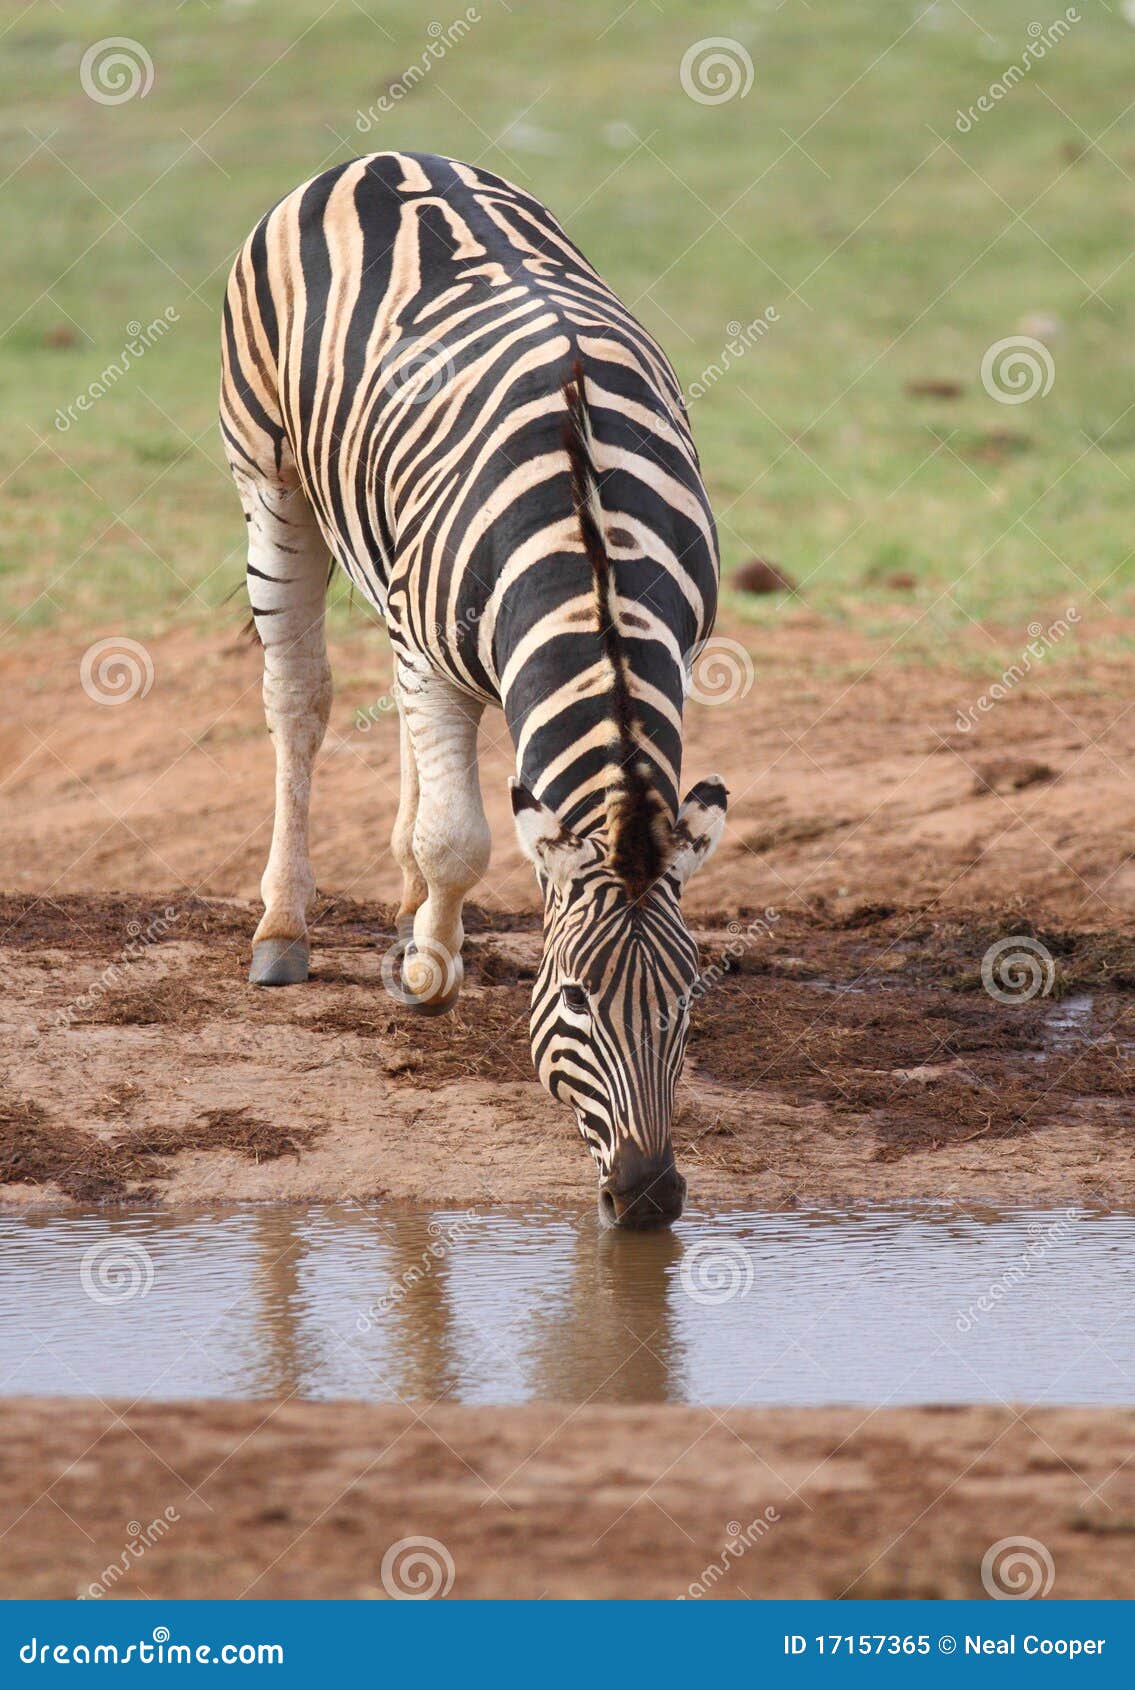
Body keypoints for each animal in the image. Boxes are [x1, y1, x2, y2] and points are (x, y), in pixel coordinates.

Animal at [220, 151, 727, 1228]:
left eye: (688, 997)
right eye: (572, 996)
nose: (648, 1198)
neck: (589, 535)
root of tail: (383, 156)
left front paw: (426, 925)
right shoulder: (424, 642)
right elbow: (459, 837)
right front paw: (427, 973)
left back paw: (408, 899)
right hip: (269, 477)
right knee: (297, 697)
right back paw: (284, 928)